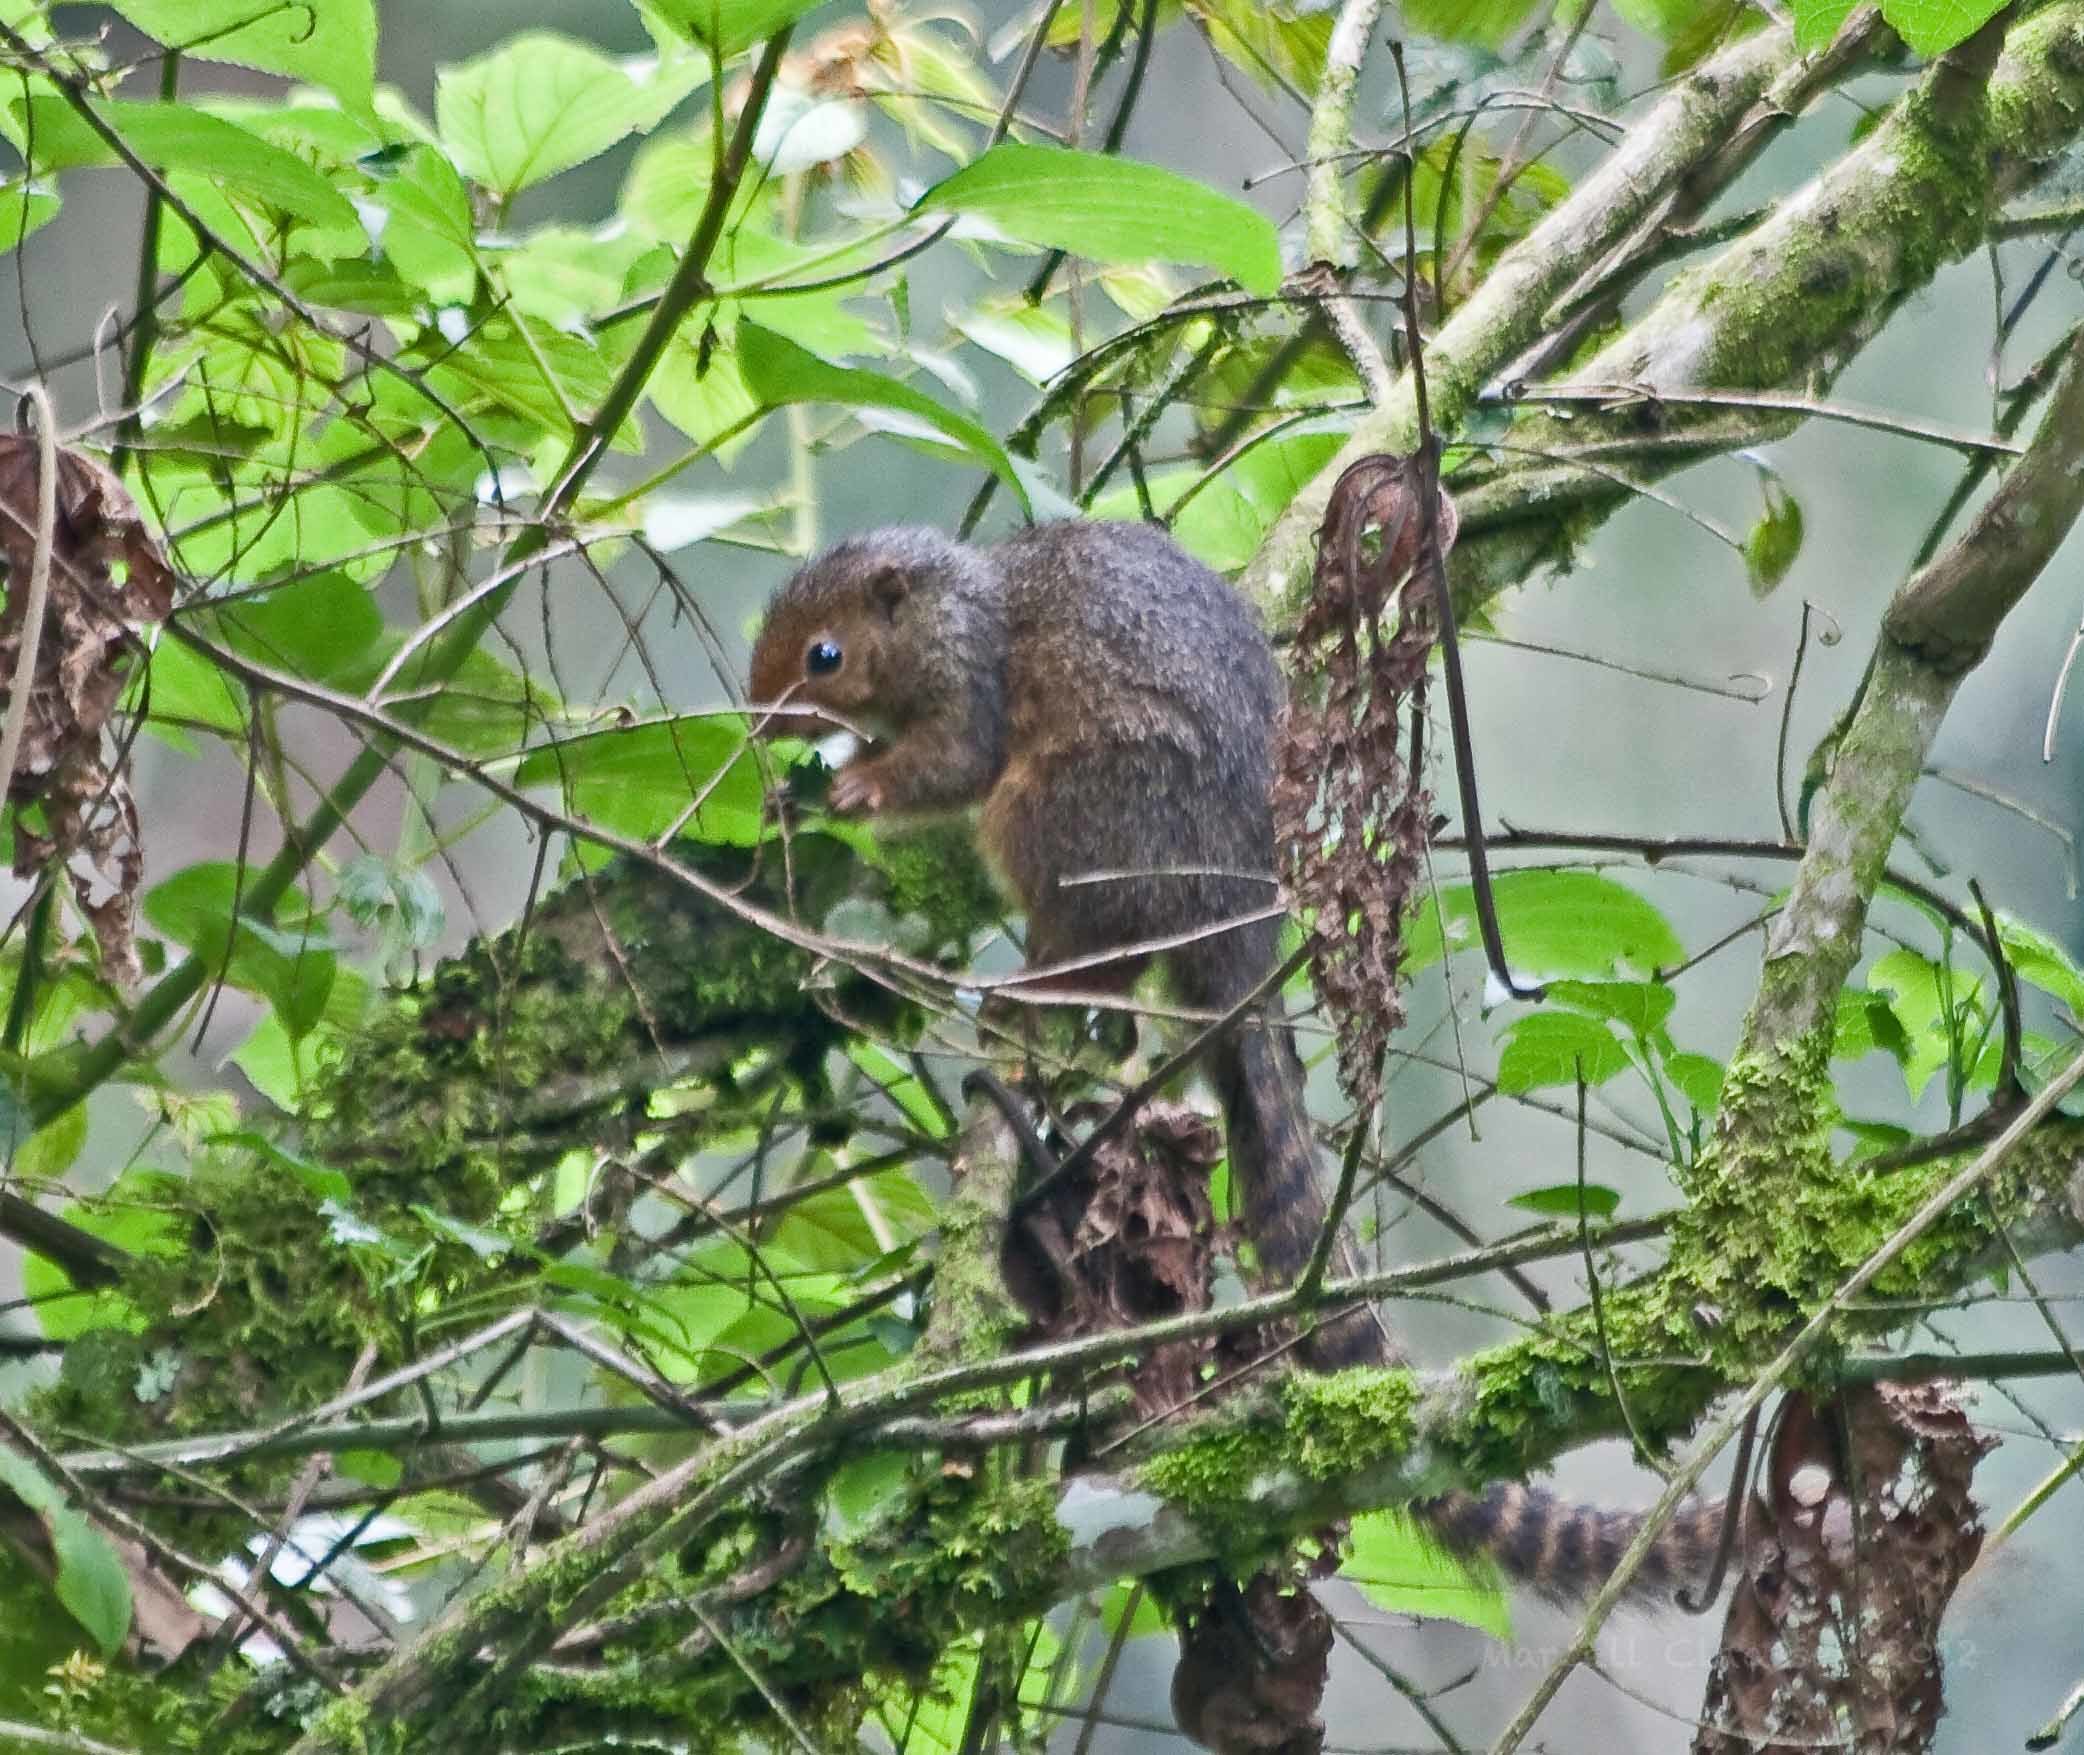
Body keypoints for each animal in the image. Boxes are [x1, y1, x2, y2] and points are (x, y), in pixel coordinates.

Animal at [750, 516, 1725, 1600]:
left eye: (823, 657)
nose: (755, 716)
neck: (960, 607)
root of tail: (1238, 922)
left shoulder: (973, 687)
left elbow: (951, 765)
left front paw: (856, 783)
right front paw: (791, 798)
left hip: (1074, 813)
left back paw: (1030, 992)